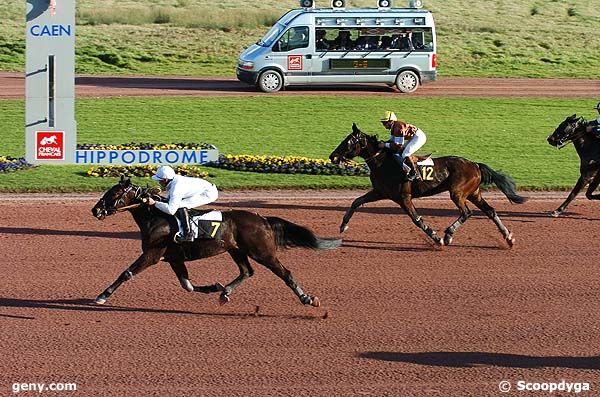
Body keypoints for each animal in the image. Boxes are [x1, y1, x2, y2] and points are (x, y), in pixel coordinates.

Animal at [91, 176, 340, 306]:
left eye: (114, 194)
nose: (95, 210)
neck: (156, 217)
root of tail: (263, 219)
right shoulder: (173, 258)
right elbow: (188, 285)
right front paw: (213, 287)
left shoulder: (152, 254)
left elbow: (126, 273)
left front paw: (102, 296)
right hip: (236, 250)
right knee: (247, 271)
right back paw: (225, 292)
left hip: (263, 252)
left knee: (285, 273)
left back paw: (307, 298)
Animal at [326, 124, 528, 246]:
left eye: (348, 142)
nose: (332, 156)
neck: (384, 163)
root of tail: (475, 164)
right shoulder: (379, 192)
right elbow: (356, 202)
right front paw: (343, 226)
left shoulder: (403, 198)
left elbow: (417, 220)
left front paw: (436, 238)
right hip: (473, 193)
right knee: (490, 211)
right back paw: (508, 237)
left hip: (457, 193)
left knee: (467, 212)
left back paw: (448, 234)